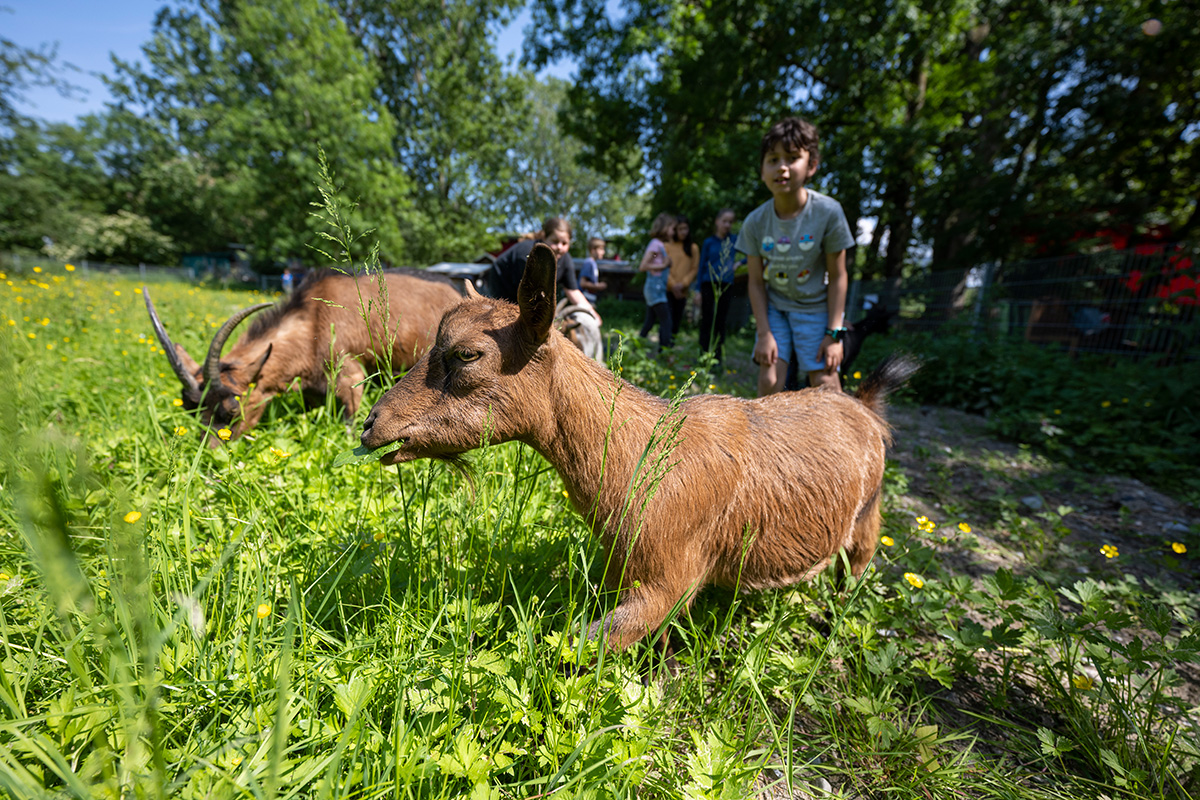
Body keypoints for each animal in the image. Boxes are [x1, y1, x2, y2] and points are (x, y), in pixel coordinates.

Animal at [145, 269, 463, 443]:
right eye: (190, 408)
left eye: (232, 410)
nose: (209, 459)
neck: (313, 323)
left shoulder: (349, 376)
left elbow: (351, 423)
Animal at [360, 244, 917, 652]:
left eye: (468, 355)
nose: (371, 425)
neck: (639, 454)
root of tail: (865, 407)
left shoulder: (668, 579)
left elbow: (576, 647)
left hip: (867, 520)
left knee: (855, 570)